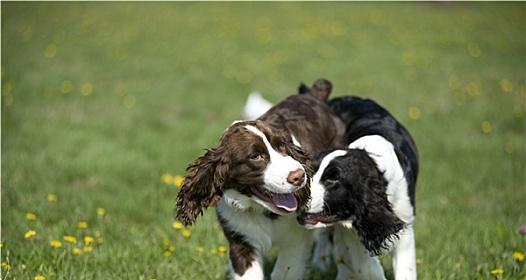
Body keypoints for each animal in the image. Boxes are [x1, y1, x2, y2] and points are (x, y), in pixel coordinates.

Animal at [175, 79, 344, 280]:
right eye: (256, 156)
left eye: (283, 146)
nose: (299, 176)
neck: (260, 210)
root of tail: (313, 95)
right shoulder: (240, 237)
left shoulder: (296, 241)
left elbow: (285, 271)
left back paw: (321, 262)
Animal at [302, 94, 420, 280]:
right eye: (311, 172)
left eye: (334, 179)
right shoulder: (352, 231)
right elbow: (366, 267)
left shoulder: (404, 222)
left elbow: (405, 270)